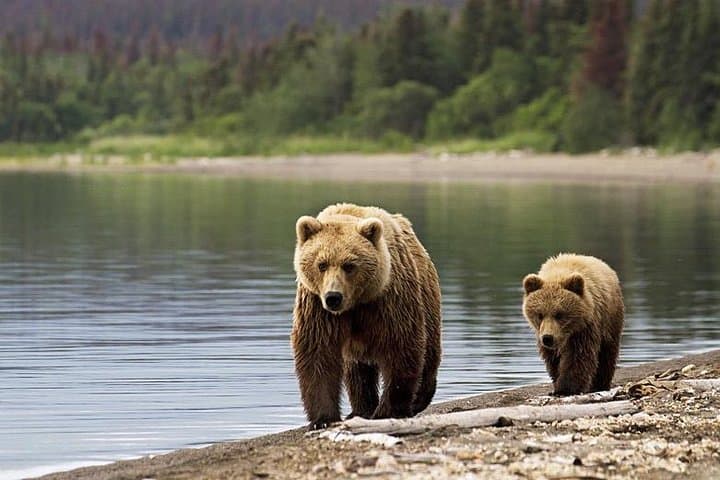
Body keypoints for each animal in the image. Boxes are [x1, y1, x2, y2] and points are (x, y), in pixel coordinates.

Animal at [291, 203, 442, 430]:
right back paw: (360, 409)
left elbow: (401, 346)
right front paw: (323, 419)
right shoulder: (317, 308)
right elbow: (317, 353)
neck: (355, 303)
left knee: (428, 352)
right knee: (356, 372)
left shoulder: (388, 301)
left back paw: (418, 399)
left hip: (427, 299)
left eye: (349, 265)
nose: (333, 297)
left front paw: (388, 411)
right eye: (321, 264)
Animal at [522, 253, 624, 396]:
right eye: (540, 314)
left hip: (610, 320)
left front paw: (566, 388)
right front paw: (557, 382)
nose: (548, 338)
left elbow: (578, 356)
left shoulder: (585, 328)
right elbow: (553, 359)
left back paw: (600, 384)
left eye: (559, 314)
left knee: (607, 353)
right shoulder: (543, 334)